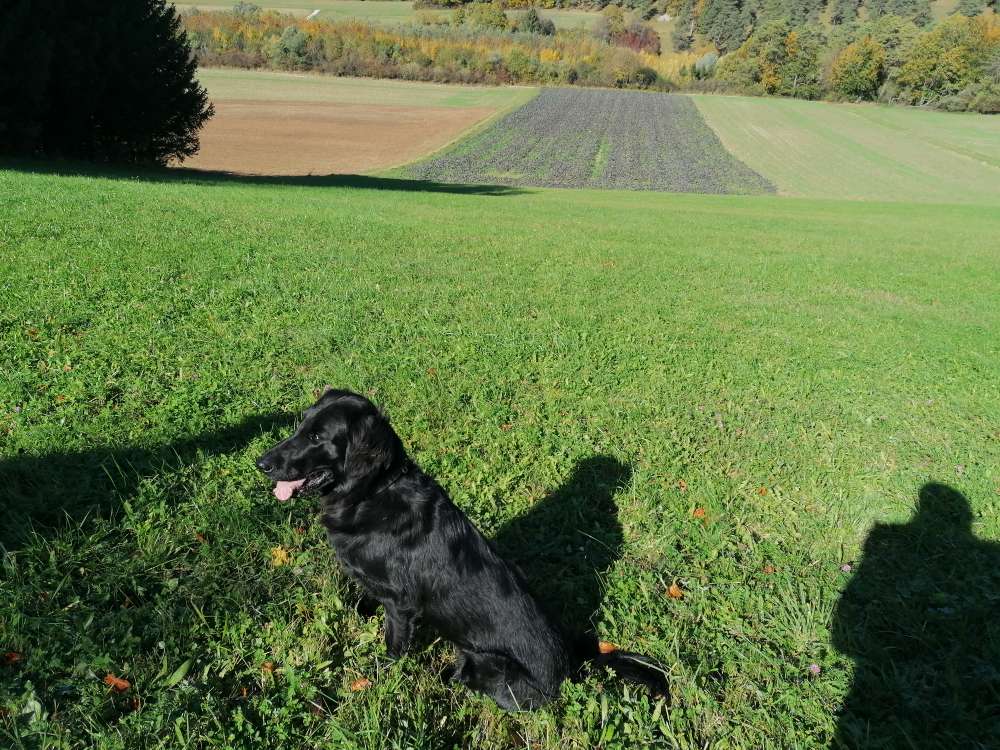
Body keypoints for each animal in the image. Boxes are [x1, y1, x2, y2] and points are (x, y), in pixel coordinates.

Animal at [254, 390, 668, 712]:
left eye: (317, 437)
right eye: (300, 426)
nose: (262, 463)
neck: (373, 492)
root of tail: (572, 664)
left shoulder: (401, 605)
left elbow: (393, 646)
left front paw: (380, 674)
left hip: (491, 664)